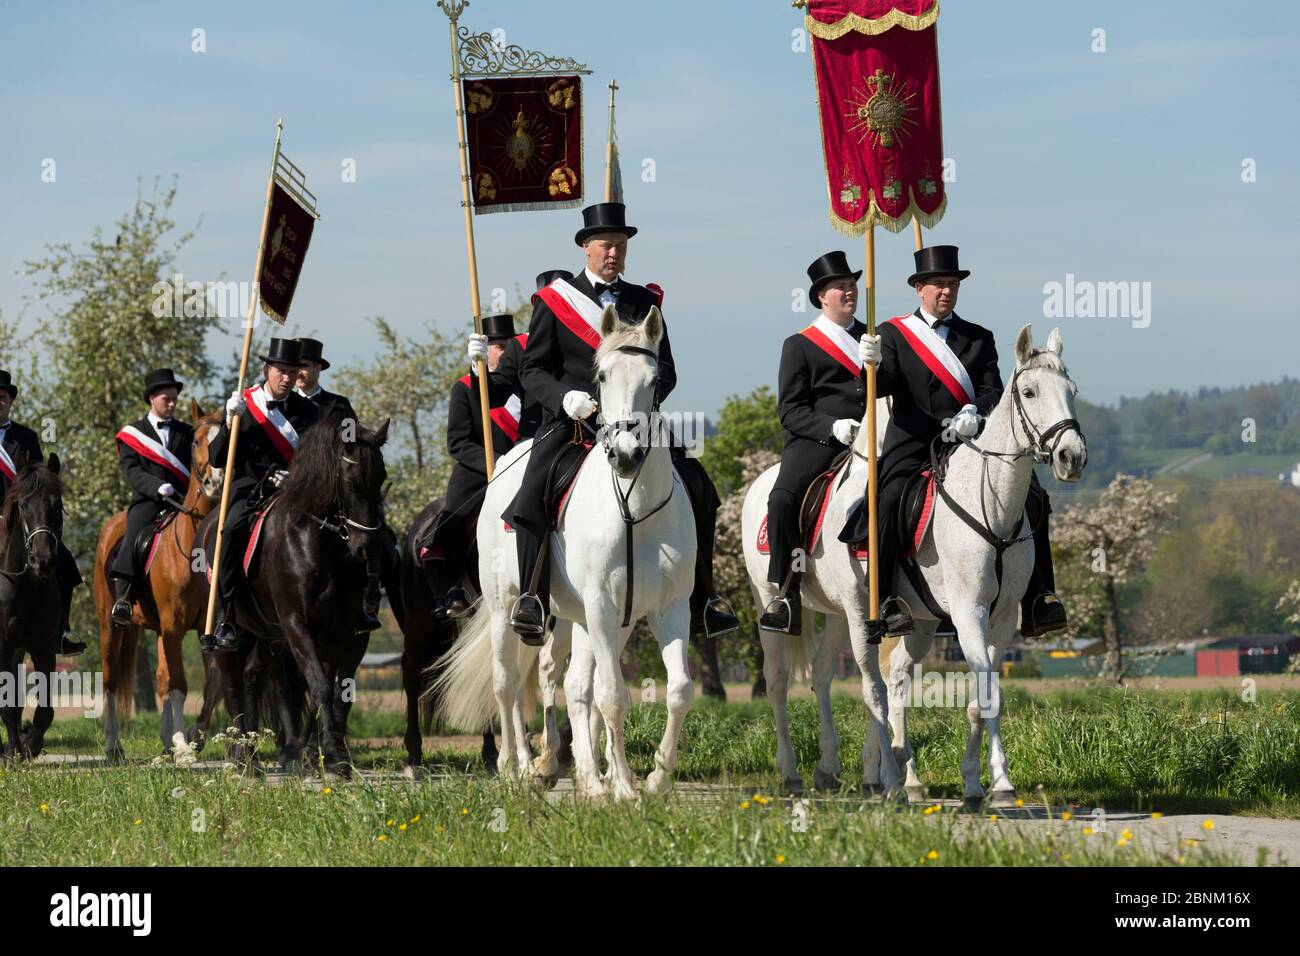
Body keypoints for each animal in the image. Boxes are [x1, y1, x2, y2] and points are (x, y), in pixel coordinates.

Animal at [92, 400, 223, 759]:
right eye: (196, 441)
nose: (215, 481)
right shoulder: (174, 625)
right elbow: (177, 685)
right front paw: (184, 746)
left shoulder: (201, 629)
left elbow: (210, 683)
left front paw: (191, 736)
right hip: (110, 625)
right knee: (110, 680)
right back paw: (113, 745)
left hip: (159, 631)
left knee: (162, 675)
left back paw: (167, 741)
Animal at [204, 418, 390, 780]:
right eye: (350, 480)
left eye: (382, 478)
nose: (367, 549)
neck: (319, 541)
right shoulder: (297, 625)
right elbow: (319, 685)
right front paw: (330, 754)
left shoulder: (344, 632)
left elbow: (337, 690)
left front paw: (331, 755)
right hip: (236, 632)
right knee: (233, 681)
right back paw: (242, 758)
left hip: (268, 634)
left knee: (251, 675)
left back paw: (254, 754)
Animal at [434, 306, 702, 801]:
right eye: (600, 376)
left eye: (656, 379)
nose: (626, 455)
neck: (634, 507)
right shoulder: (600, 606)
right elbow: (612, 695)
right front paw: (624, 788)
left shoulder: (668, 609)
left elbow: (677, 690)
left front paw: (653, 778)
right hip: (507, 608)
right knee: (507, 685)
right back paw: (516, 766)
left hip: (584, 619)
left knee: (574, 685)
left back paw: (585, 775)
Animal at [743, 325, 1086, 806]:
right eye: (1030, 391)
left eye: (1072, 391)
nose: (1072, 457)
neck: (991, 503)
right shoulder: (967, 611)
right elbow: (982, 693)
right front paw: (998, 782)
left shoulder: (1001, 618)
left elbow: (984, 695)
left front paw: (978, 781)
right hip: (801, 606)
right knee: (809, 684)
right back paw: (831, 774)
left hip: (876, 617)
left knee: (858, 678)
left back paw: (861, 771)